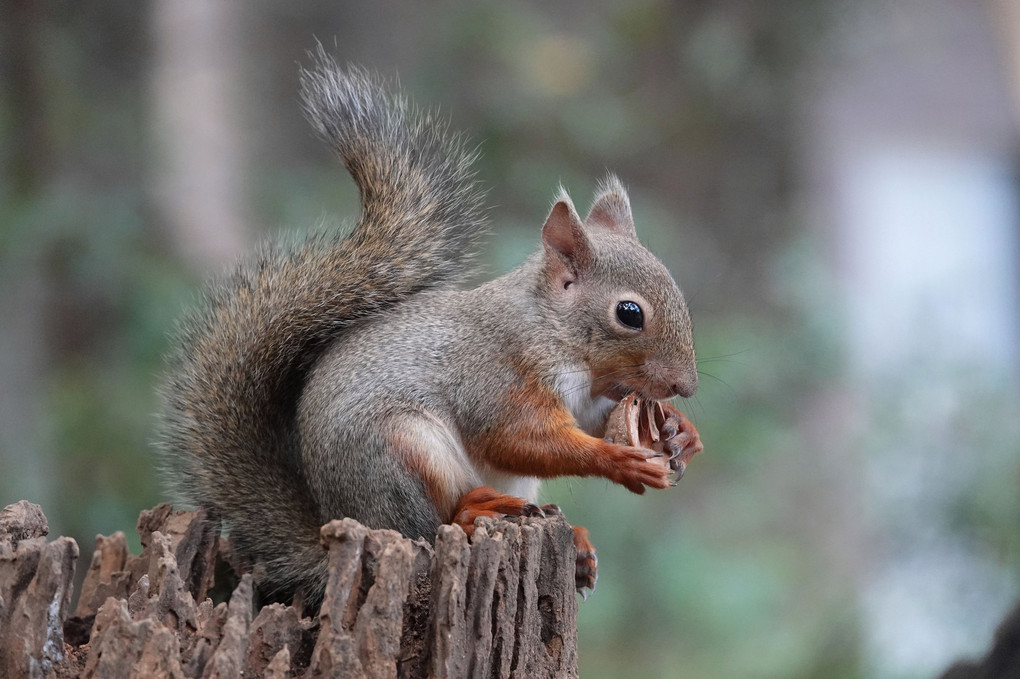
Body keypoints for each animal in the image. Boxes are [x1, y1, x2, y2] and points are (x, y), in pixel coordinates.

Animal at [157, 48, 701, 603]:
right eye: (629, 313)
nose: (686, 386)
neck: (554, 332)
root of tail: (339, 527)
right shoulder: (495, 374)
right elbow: (516, 438)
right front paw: (621, 460)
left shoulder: (586, 398)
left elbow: (585, 423)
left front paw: (681, 433)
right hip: (403, 452)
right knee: (429, 524)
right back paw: (475, 512)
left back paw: (578, 542)